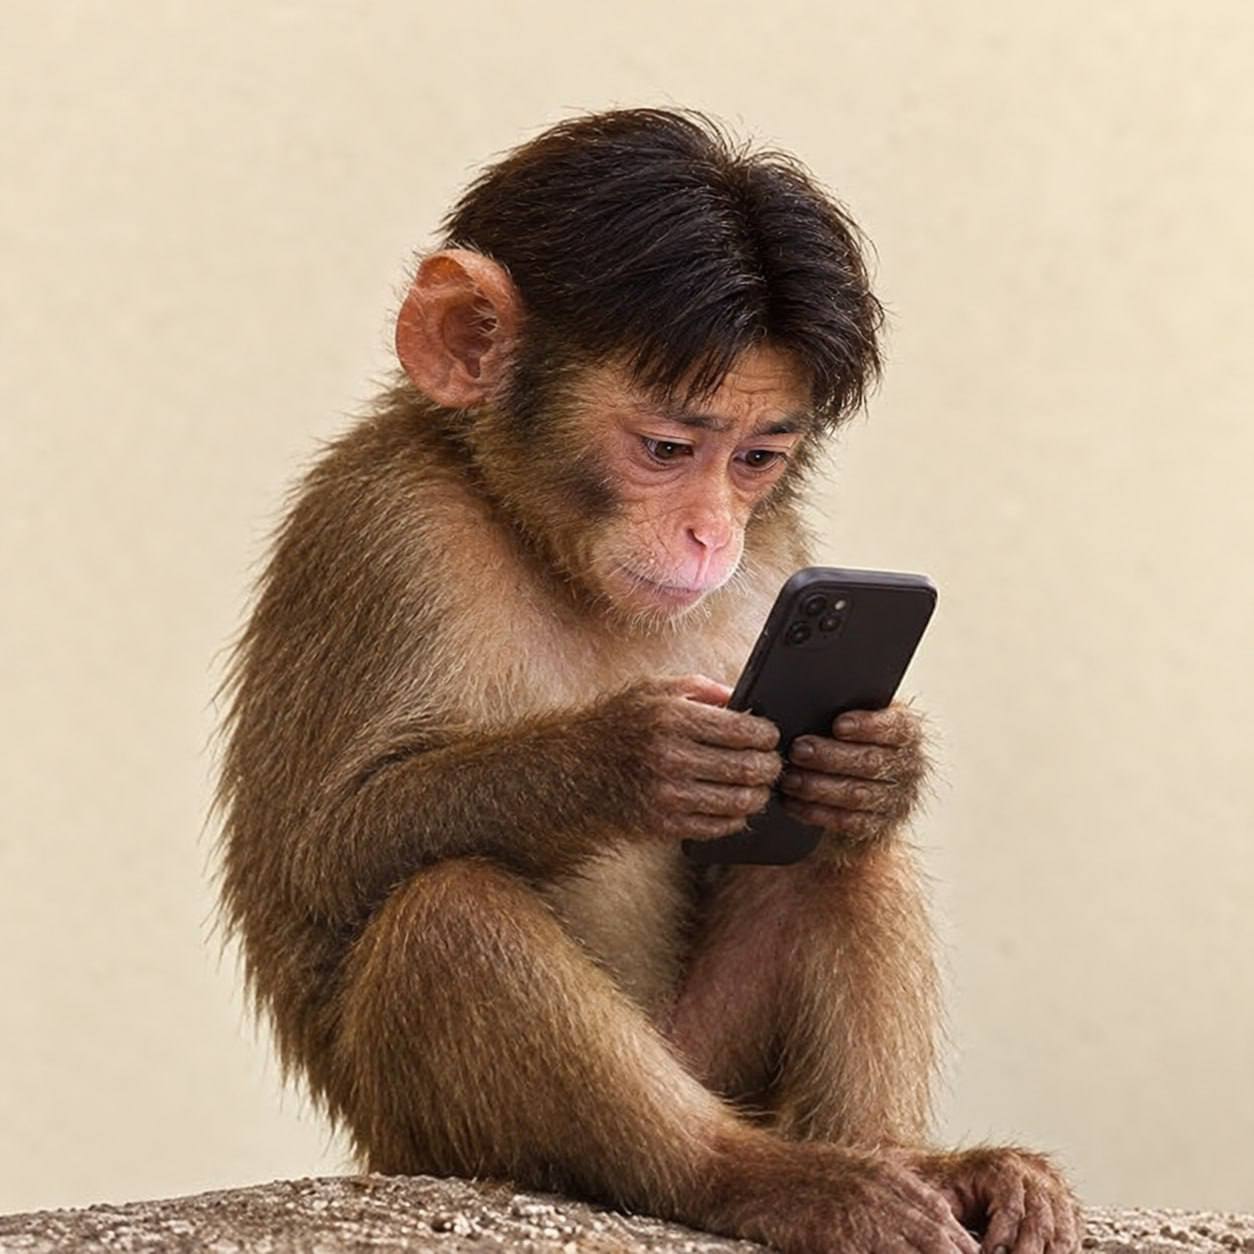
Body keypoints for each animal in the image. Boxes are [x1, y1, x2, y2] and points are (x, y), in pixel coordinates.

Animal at [213, 108, 1080, 1254]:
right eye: (667, 448)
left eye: (757, 458)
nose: (711, 533)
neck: (535, 536)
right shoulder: (380, 528)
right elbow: (319, 855)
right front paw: (631, 757)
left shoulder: (778, 552)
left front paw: (883, 761)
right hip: (430, 1134)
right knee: (447, 914)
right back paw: (753, 1177)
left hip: (714, 1055)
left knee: (839, 847)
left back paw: (904, 1153)